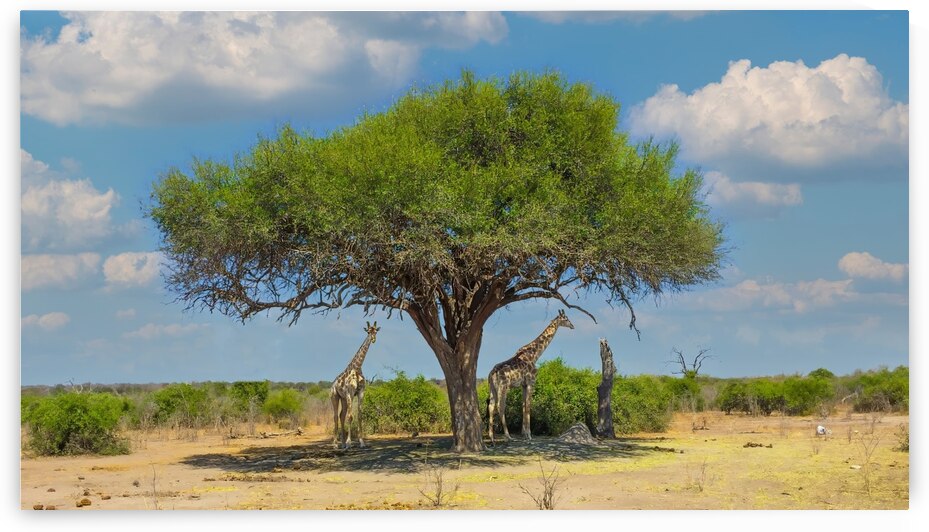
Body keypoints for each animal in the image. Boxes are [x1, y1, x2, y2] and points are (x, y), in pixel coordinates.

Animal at [487, 309, 574, 444]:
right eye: (566, 319)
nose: (572, 326)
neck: (535, 354)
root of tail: (492, 374)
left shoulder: (523, 385)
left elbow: (523, 406)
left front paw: (524, 434)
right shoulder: (531, 382)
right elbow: (528, 406)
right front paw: (529, 435)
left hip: (492, 387)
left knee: (491, 406)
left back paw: (491, 437)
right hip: (503, 387)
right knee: (500, 406)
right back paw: (508, 436)